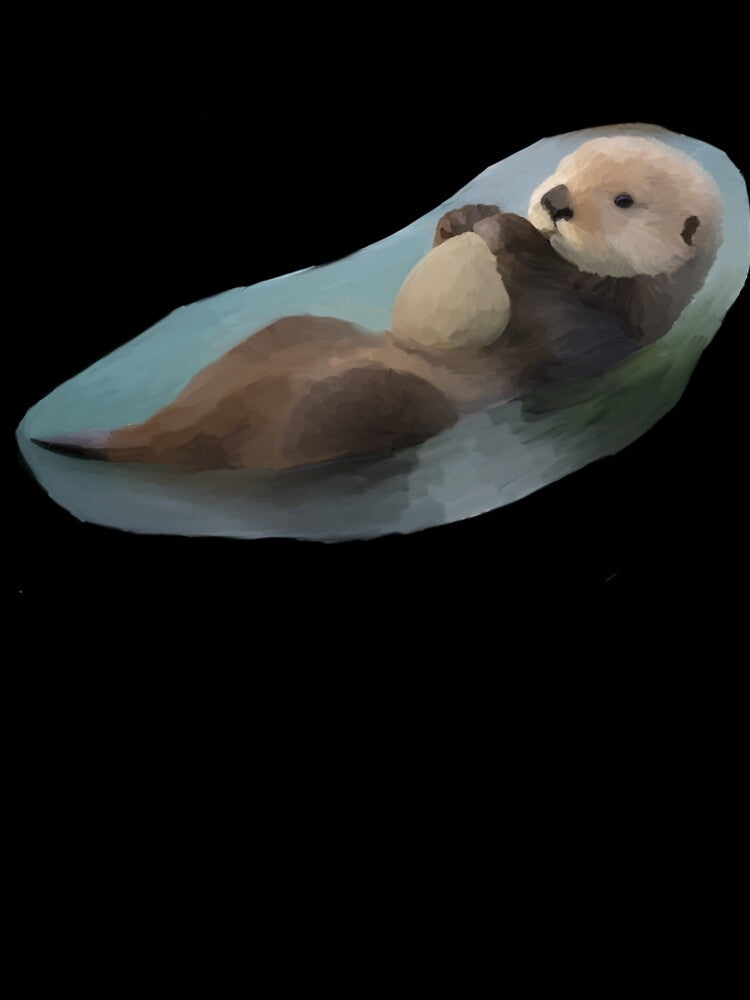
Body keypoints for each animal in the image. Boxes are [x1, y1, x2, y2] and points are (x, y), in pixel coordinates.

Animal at [34, 136, 722, 471]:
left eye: (623, 200)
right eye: (565, 169)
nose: (554, 201)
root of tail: (166, 433)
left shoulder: (612, 331)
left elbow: (552, 321)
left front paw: (506, 232)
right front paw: (466, 216)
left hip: (369, 401)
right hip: (294, 329)